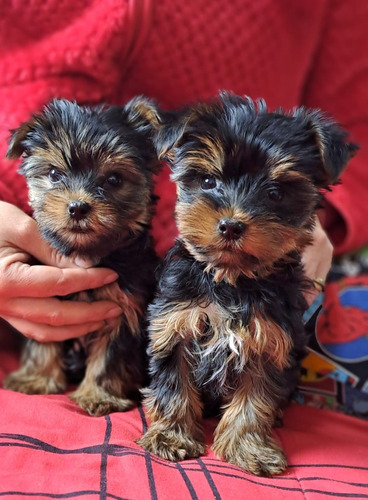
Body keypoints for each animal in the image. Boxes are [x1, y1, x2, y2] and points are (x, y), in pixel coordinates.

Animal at [3, 95, 161, 416]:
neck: (89, 253)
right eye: (54, 174)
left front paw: (98, 395)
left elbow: (109, 357)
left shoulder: (124, 309)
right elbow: (42, 341)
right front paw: (37, 378)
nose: (77, 207)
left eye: (114, 179)